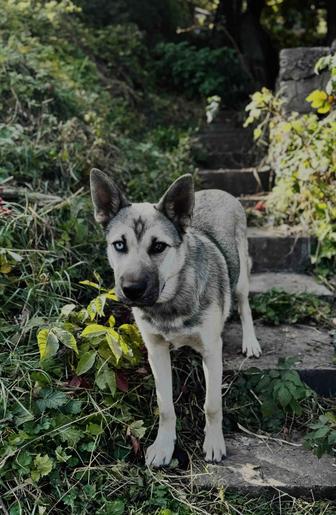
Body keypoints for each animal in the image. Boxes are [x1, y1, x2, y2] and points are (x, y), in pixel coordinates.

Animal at [90, 168, 262, 468]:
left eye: (159, 246)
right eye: (119, 245)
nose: (132, 289)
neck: (170, 301)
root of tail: (219, 191)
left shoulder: (211, 351)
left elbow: (212, 404)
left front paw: (214, 442)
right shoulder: (156, 351)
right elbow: (165, 406)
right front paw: (164, 446)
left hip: (240, 277)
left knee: (244, 305)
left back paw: (249, 341)